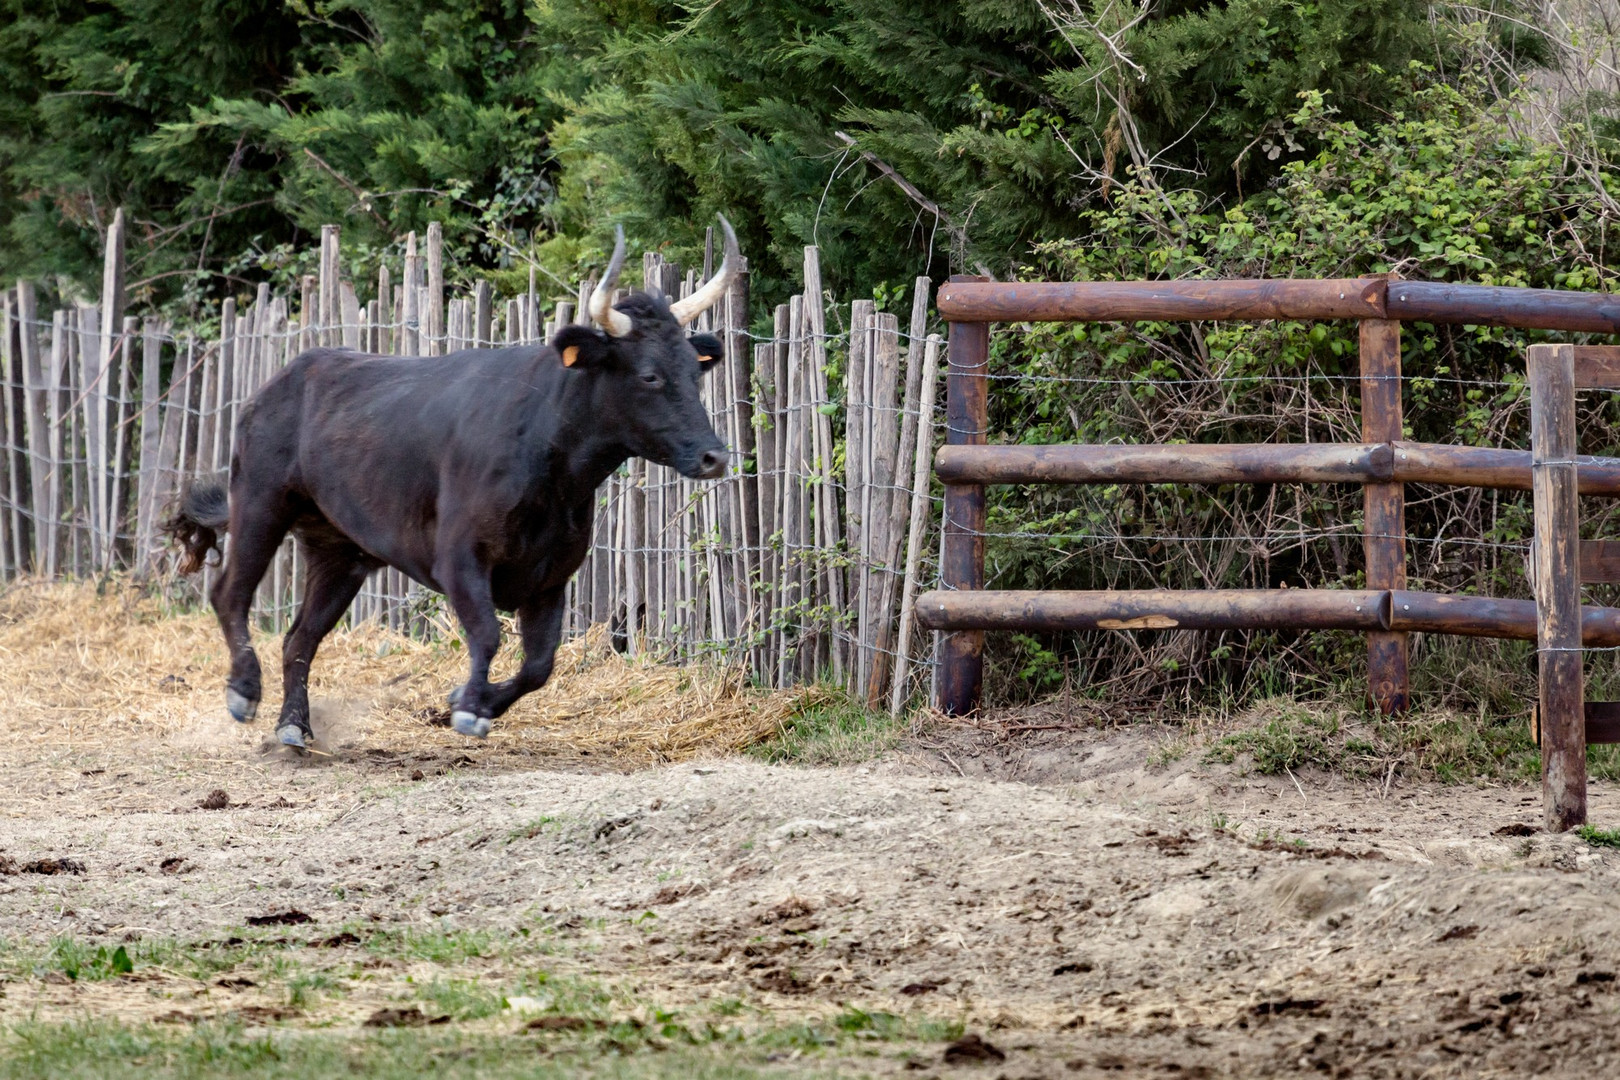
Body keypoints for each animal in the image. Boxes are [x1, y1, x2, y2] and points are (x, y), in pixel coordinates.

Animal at [166, 252, 735, 748]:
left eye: (695, 371)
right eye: (649, 375)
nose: (714, 456)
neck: (548, 453)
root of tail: (275, 384)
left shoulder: (551, 576)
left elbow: (539, 666)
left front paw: (471, 699)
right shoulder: (459, 559)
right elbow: (487, 634)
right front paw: (468, 708)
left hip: (339, 552)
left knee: (299, 637)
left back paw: (293, 727)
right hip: (261, 505)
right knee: (230, 594)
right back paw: (244, 692)